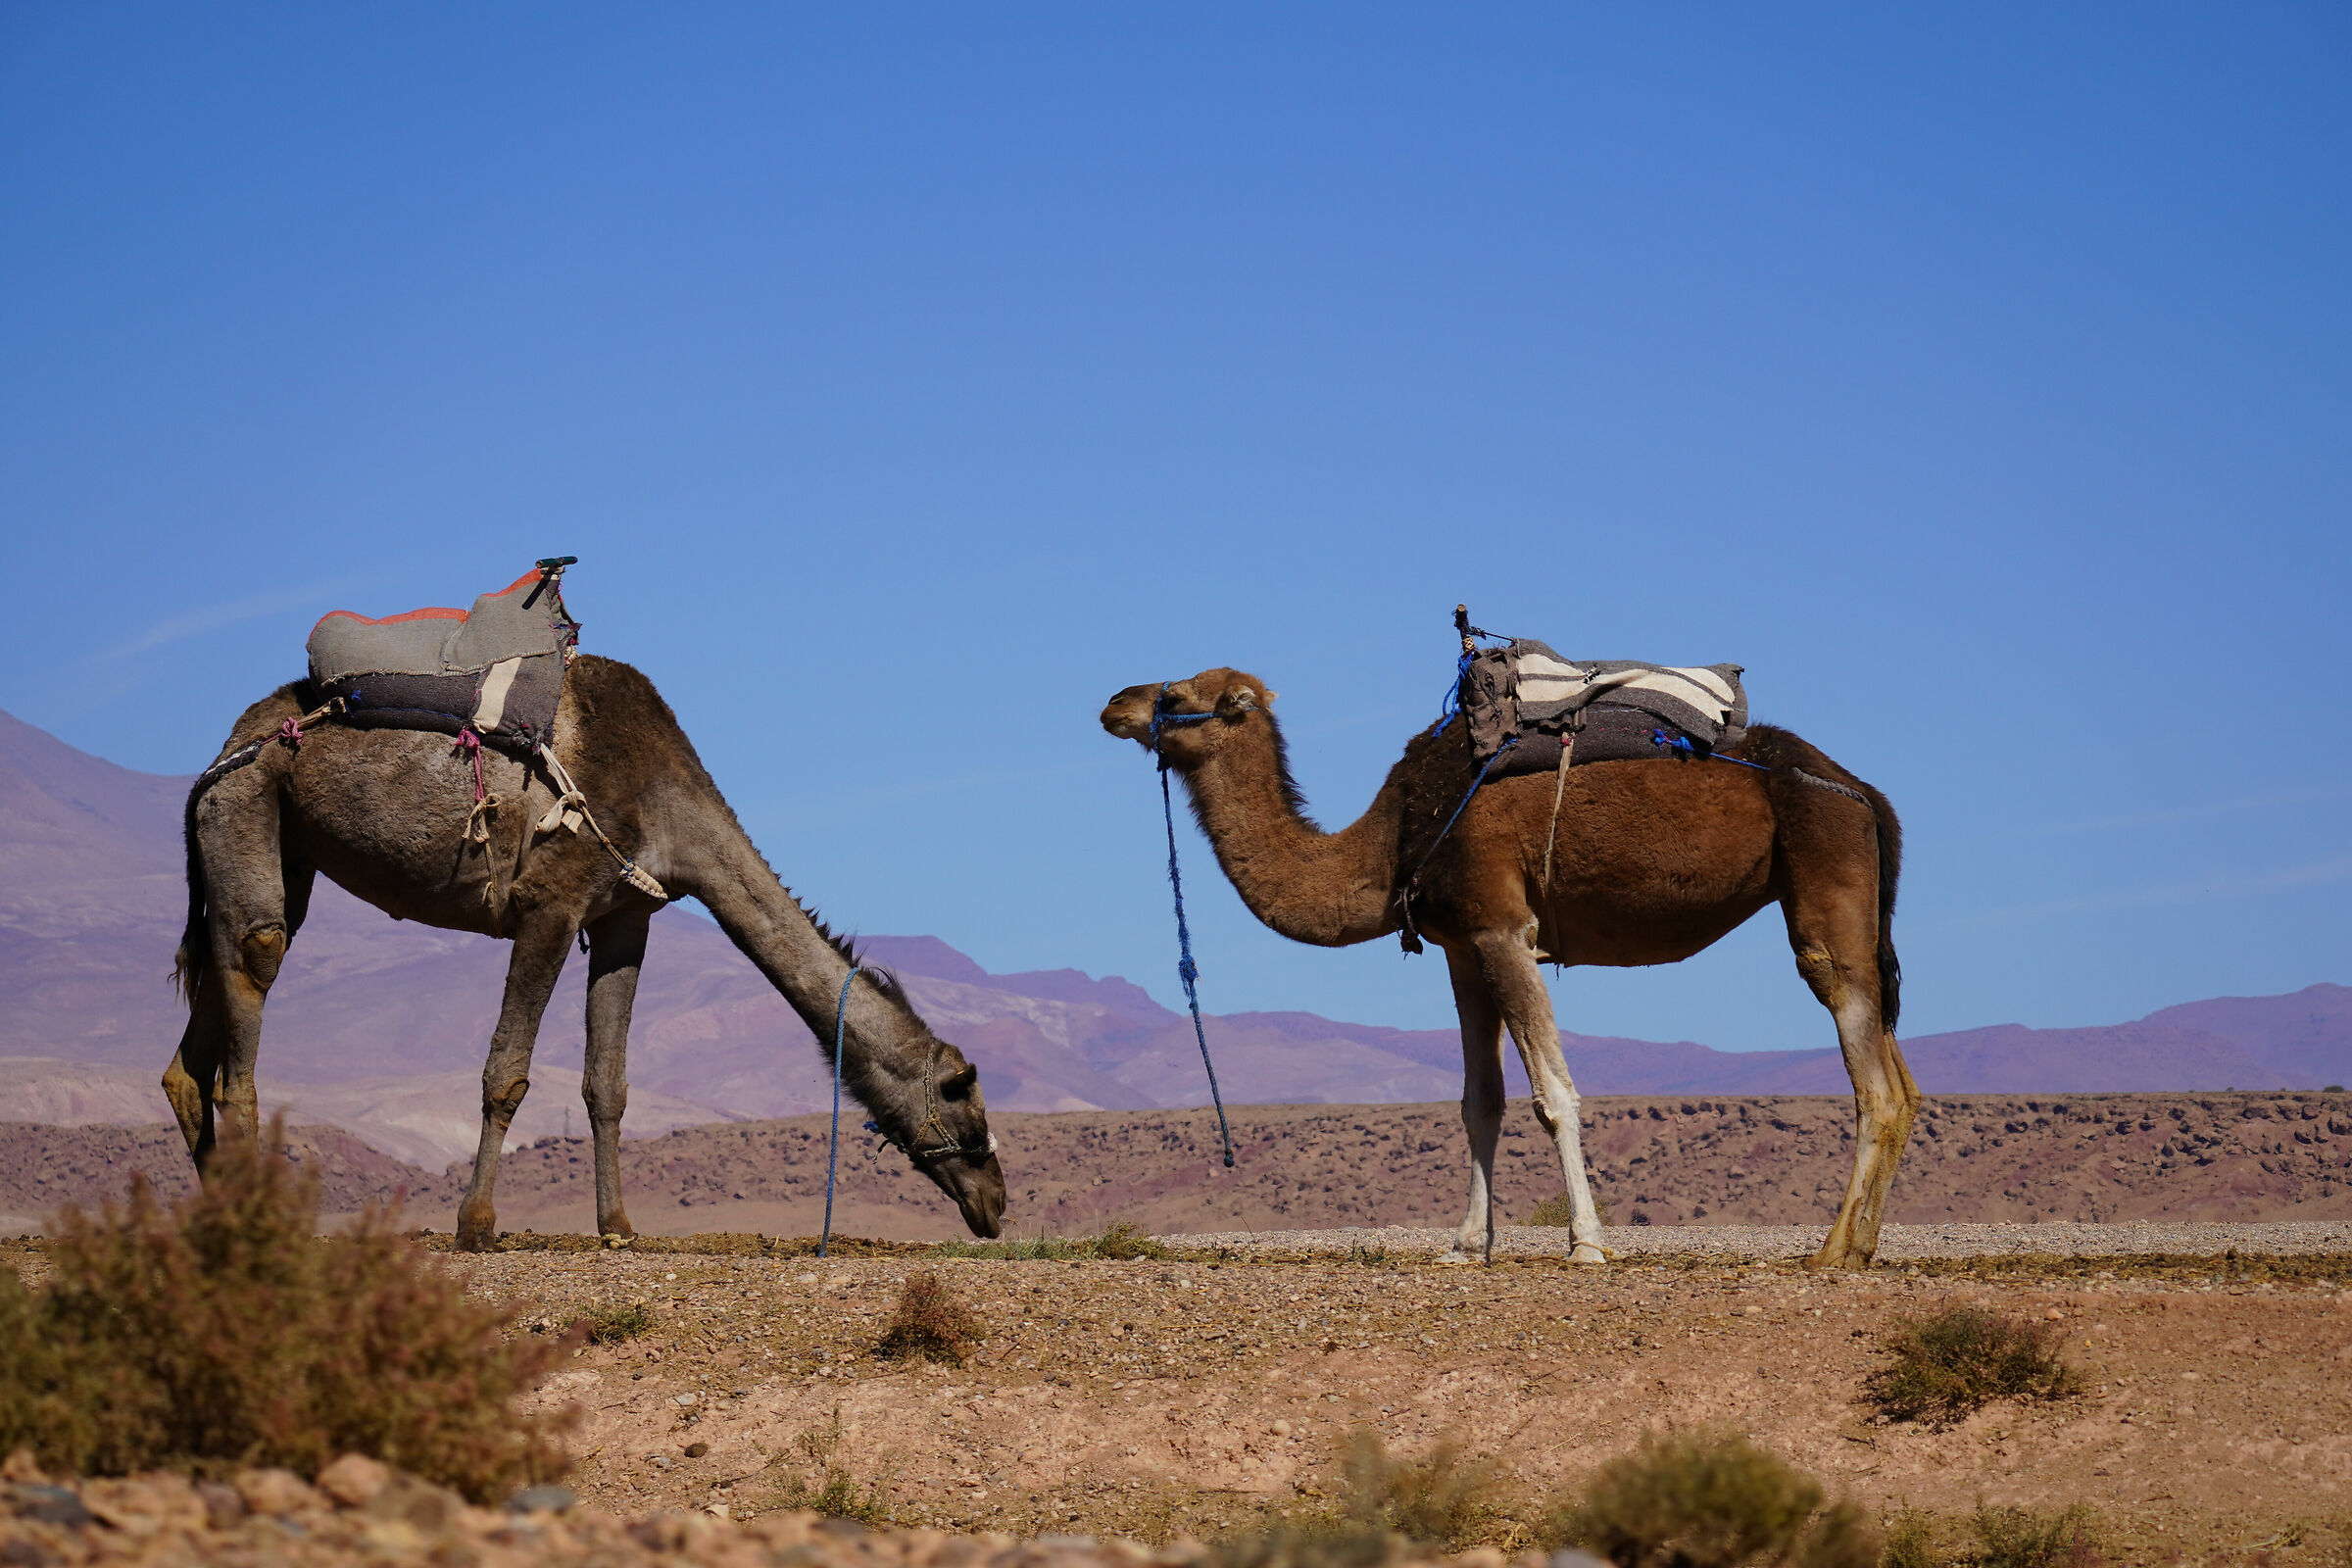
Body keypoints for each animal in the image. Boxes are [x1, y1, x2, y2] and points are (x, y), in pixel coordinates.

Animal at [166, 655, 1006, 1250]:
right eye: (963, 1096)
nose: (996, 1202)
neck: (668, 805)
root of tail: (225, 747)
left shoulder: (627, 917)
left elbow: (608, 1083)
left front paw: (619, 1227)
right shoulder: (551, 905)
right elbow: (507, 1073)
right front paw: (477, 1225)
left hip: (282, 846)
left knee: (200, 1037)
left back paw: (218, 1213)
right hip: (247, 803)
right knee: (256, 963)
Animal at [1102, 668, 1914, 1270]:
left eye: (1176, 696)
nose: (1114, 704)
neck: (1394, 836)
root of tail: (1867, 795)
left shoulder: (1502, 928)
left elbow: (1553, 1094)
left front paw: (1586, 1245)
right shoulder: (1462, 947)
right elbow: (1479, 1101)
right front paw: (1466, 1247)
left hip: (1824, 876)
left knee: (1869, 1077)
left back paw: (1829, 1252)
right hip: (1857, 907)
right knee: (1900, 1081)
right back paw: (1861, 1247)